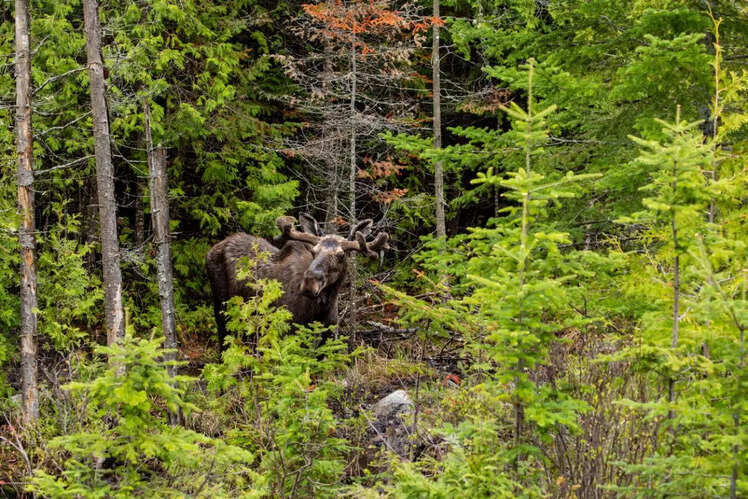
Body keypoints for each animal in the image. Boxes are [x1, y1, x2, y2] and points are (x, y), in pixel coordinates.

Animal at [206, 214, 389, 349]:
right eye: (313, 251)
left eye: (341, 255)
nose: (309, 284)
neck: (321, 309)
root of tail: (215, 247)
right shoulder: (290, 331)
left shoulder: (328, 334)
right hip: (221, 305)